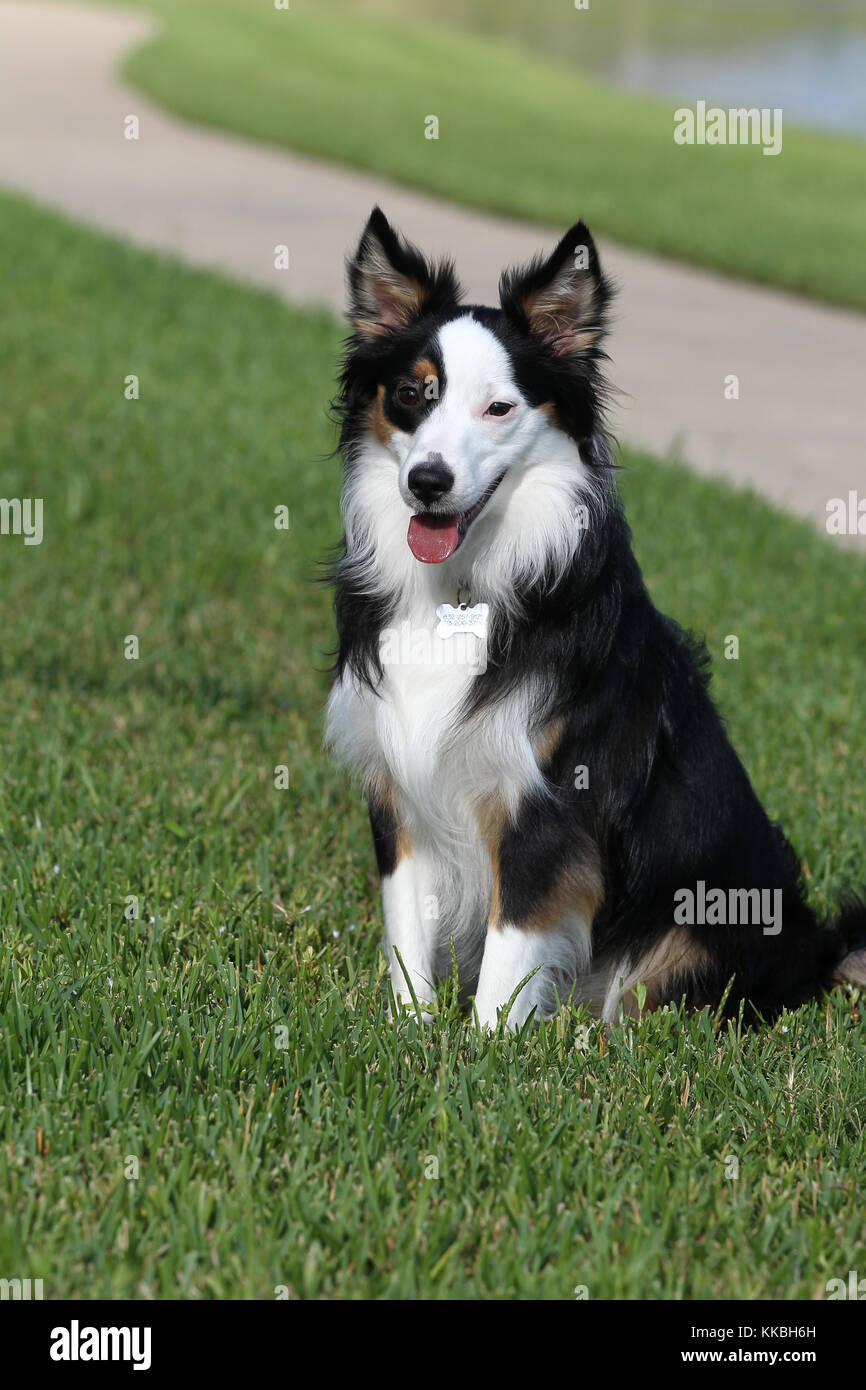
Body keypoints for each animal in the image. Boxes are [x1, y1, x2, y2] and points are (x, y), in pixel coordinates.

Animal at [326, 205, 866, 1034]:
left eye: (499, 407)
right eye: (413, 396)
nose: (427, 482)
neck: (464, 587)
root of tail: (816, 952)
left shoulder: (548, 803)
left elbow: (513, 948)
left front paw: (485, 1050)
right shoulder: (401, 785)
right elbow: (407, 933)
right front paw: (410, 1035)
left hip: (696, 925)